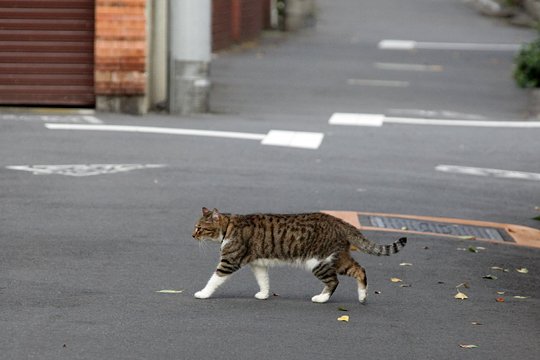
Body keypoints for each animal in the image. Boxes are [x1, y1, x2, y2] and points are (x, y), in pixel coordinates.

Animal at [192, 207, 408, 302]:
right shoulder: (258, 263)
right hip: (338, 258)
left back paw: (322, 298)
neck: (229, 227)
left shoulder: (230, 261)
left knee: (334, 281)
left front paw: (203, 293)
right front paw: (264, 294)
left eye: (200, 228)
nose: (192, 235)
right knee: (359, 270)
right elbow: (263, 280)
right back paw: (362, 296)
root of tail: (339, 221)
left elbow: (214, 279)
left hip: (319, 262)